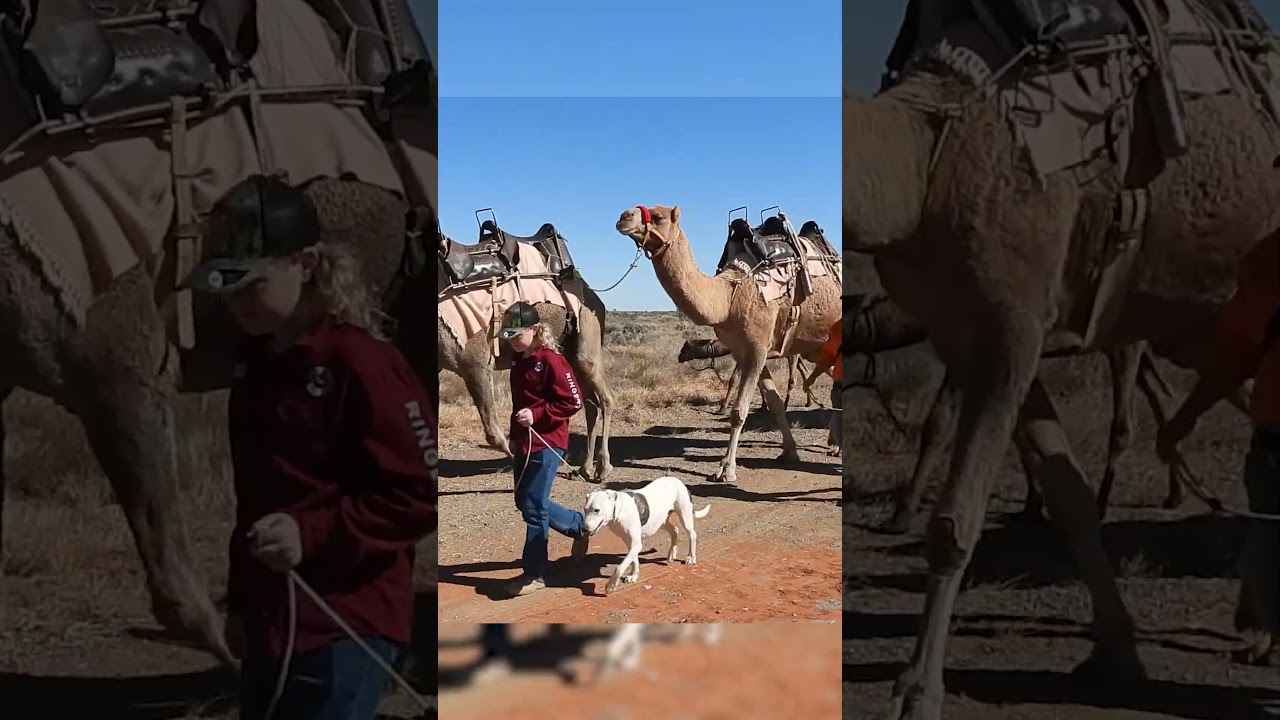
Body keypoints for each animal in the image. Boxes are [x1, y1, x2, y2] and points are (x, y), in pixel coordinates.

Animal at [437, 275, 616, 479]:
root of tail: (596, 299)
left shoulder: (475, 363)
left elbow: (493, 433)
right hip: (569, 351)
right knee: (591, 405)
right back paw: (585, 469)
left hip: (587, 333)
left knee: (605, 397)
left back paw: (604, 468)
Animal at [615, 206, 841, 483]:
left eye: (658, 217)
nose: (624, 217)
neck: (728, 297)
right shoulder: (746, 351)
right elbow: (775, 404)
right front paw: (790, 452)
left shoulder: (757, 349)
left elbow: (739, 411)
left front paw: (726, 469)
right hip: (817, 346)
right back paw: (834, 444)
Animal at [842, 6, 1280, 718]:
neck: (920, 158)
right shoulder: (968, 333)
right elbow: (1069, 497)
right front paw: (1117, 653)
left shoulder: (1013, 322)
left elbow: (954, 521)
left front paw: (916, 690)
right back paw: (1256, 629)